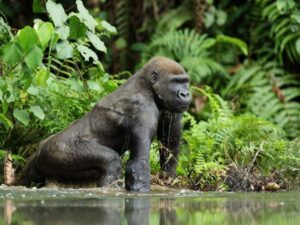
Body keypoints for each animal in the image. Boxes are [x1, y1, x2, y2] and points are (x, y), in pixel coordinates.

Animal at [17, 56, 190, 192]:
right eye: (175, 81)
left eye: (185, 81)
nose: (185, 94)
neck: (148, 85)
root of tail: (39, 150)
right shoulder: (143, 109)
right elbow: (138, 165)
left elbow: (170, 144)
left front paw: (168, 178)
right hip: (57, 152)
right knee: (111, 161)